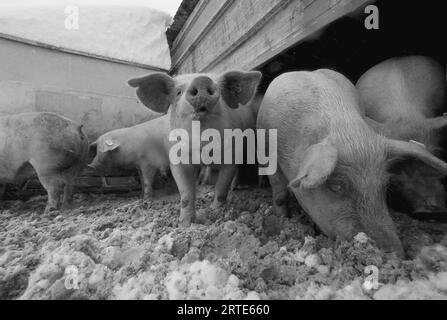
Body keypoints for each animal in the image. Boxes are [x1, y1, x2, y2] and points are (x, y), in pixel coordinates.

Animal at [128, 70, 262, 225]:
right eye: (178, 92)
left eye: (221, 91)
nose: (202, 80)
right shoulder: (177, 160)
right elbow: (186, 193)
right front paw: (185, 224)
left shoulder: (232, 154)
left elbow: (222, 186)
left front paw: (216, 210)